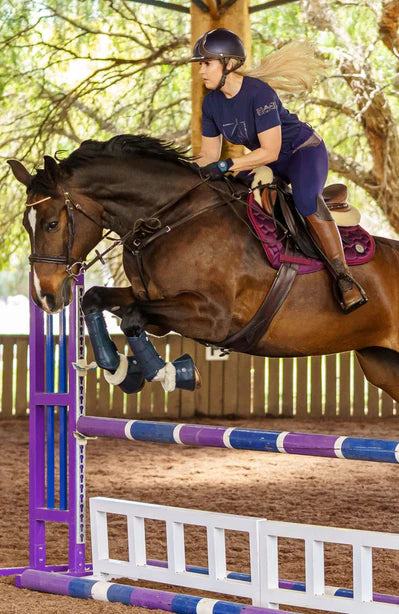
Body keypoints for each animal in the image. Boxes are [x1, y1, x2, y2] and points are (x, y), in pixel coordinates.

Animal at [7, 134, 399, 402]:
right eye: (26, 225)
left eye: (51, 224)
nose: (44, 296)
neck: (170, 219)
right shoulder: (154, 307)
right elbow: (95, 298)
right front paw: (120, 369)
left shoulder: (212, 317)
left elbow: (132, 318)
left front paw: (170, 373)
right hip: (381, 364)